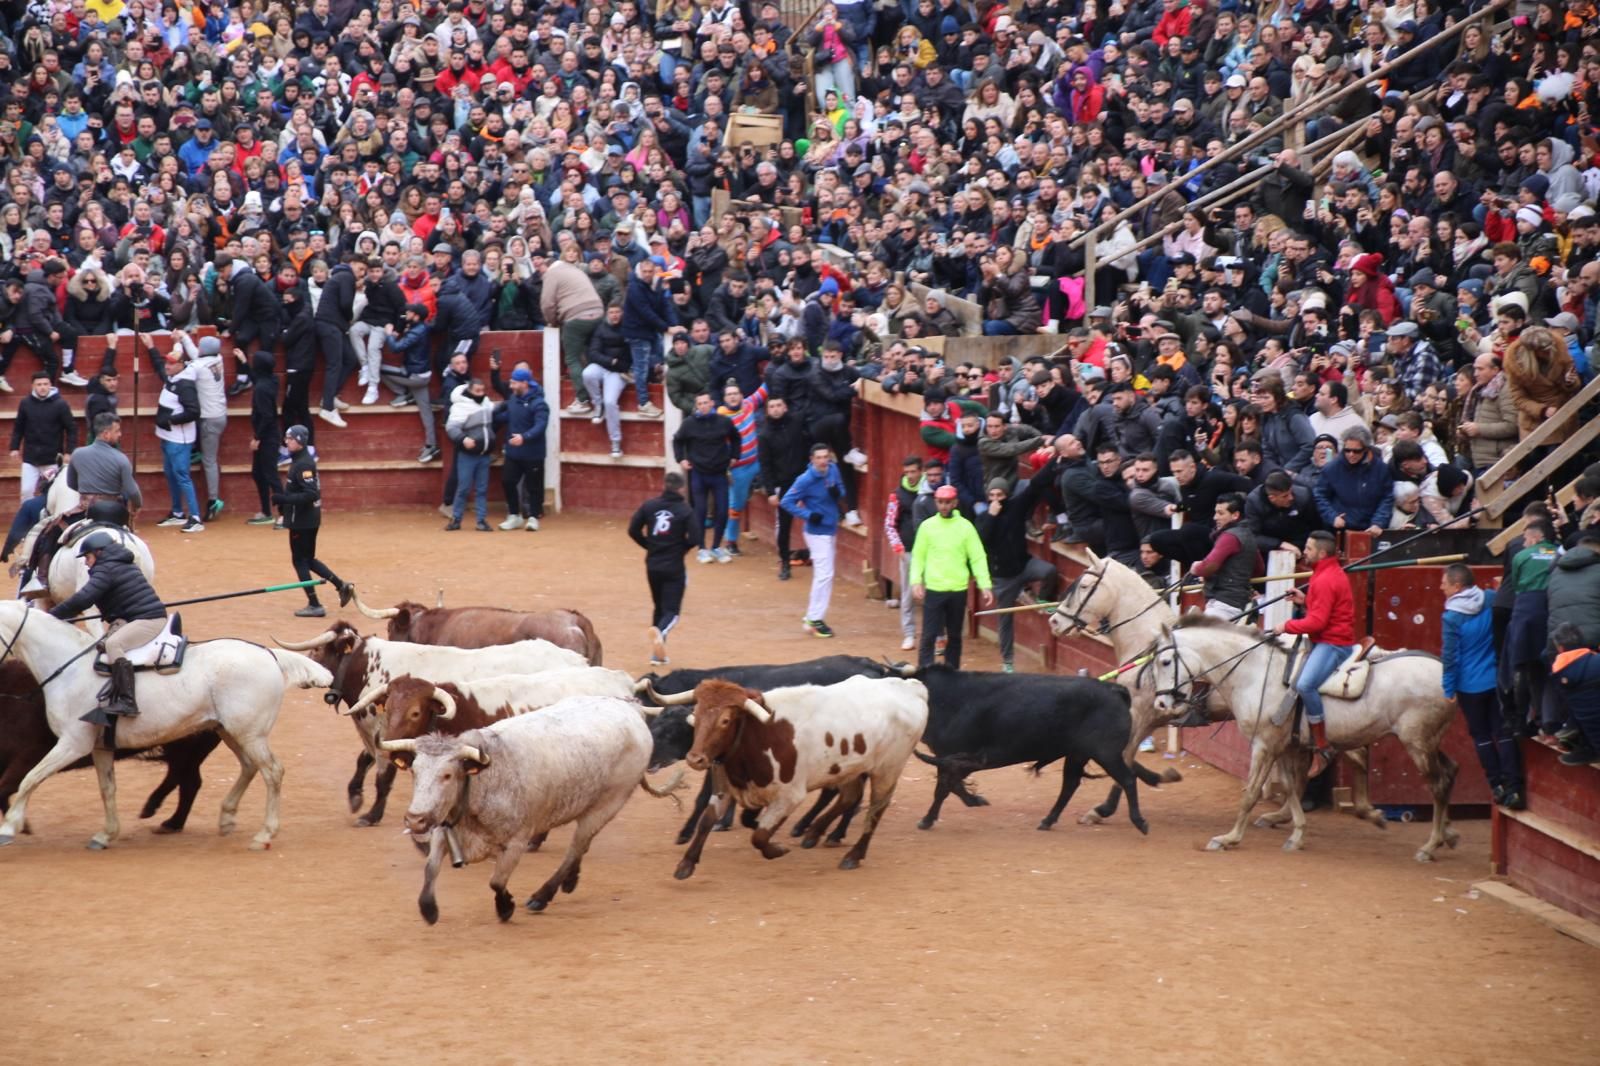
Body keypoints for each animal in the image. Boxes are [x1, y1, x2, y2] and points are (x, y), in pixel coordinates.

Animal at [0, 601, 333, 851]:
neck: (69, 668)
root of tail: (268, 654)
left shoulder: (71, 744)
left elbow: (28, 779)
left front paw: (10, 827)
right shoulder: (98, 747)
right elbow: (107, 789)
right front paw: (106, 834)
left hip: (249, 734)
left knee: (272, 772)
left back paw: (263, 835)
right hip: (230, 732)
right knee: (248, 767)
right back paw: (224, 817)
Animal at [1148, 615, 1461, 860]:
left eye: (1165, 661)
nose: (1161, 704)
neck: (1256, 673)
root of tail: (1444, 673)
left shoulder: (1264, 745)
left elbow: (1251, 793)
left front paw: (1229, 838)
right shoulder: (1285, 746)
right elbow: (1289, 786)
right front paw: (1297, 834)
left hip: (1416, 743)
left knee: (1437, 784)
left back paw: (1429, 846)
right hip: (1429, 741)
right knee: (1450, 772)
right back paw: (1447, 834)